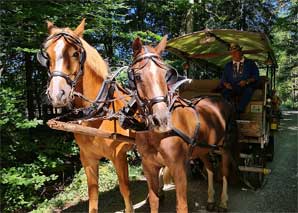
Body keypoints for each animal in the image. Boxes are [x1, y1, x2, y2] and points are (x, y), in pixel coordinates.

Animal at [36, 19, 134, 212]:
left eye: (75, 53)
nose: (57, 94)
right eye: (47, 56)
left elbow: (125, 189)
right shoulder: (87, 158)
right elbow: (93, 194)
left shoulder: (118, 155)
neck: (97, 113)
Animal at [130, 35, 237, 212]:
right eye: (137, 77)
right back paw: (210, 199)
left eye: (165, 74)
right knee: (210, 169)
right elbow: (154, 201)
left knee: (224, 173)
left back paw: (223, 202)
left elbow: (181, 205)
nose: (161, 120)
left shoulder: (178, 168)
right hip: (204, 148)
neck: (157, 136)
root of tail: (222, 99)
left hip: (226, 147)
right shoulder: (149, 167)